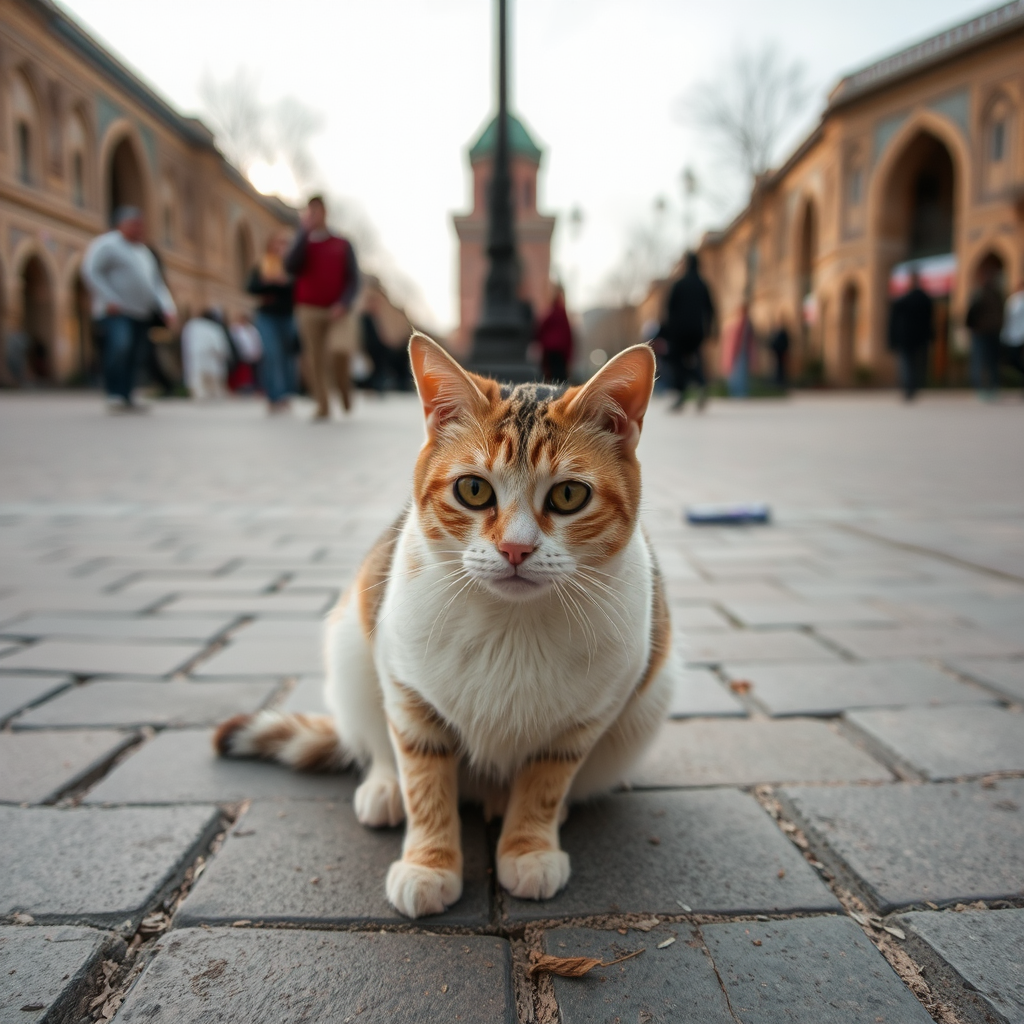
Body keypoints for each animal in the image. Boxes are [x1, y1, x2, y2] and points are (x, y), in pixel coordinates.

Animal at [215, 333, 675, 921]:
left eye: (569, 496)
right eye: (473, 490)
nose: (516, 549)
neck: (511, 626)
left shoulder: (584, 721)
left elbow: (545, 783)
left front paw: (529, 846)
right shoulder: (408, 693)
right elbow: (425, 781)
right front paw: (428, 863)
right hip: (353, 651)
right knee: (375, 742)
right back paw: (383, 789)